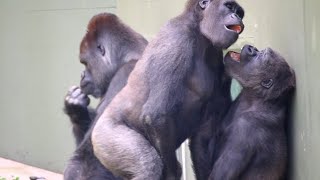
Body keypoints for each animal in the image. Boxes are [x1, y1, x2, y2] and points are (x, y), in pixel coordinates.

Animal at [63, 13, 148, 180]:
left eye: (85, 63)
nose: (82, 75)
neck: (131, 55)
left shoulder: (126, 74)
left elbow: (92, 155)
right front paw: (75, 109)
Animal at [91, 0, 244, 179]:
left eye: (239, 13)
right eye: (229, 7)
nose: (237, 17)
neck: (197, 26)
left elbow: (204, 135)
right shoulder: (177, 38)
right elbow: (155, 115)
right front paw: (172, 172)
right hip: (105, 138)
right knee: (147, 165)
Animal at [208, 44, 296, 179]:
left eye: (260, 56)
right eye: (259, 51)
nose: (251, 48)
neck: (258, 99)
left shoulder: (246, 126)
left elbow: (221, 175)